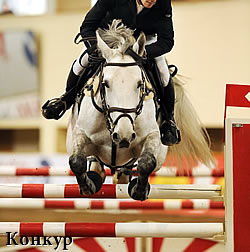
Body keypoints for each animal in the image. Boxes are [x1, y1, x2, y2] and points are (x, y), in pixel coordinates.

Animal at [66, 20, 213, 201]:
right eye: (105, 83)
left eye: (139, 84)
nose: (124, 135)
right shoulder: (79, 134)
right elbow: (76, 160)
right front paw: (88, 186)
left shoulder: (154, 139)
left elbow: (147, 162)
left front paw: (139, 190)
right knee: (97, 165)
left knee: (125, 171)